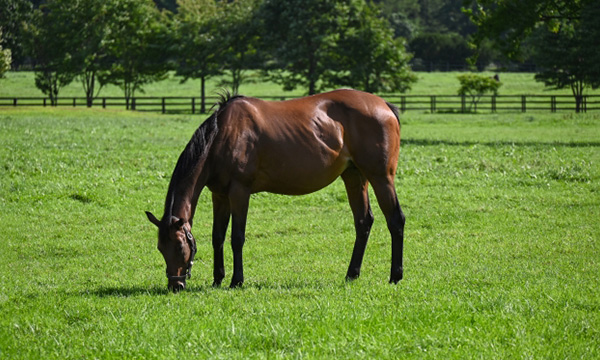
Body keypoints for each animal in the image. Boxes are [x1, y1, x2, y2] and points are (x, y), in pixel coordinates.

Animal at [146, 88, 406, 292]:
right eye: (160, 248)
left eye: (179, 246)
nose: (176, 285)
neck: (223, 135)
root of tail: (385, 106)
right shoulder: (219, 195)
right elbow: (217, 236)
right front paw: (217, 279)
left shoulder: (239, 192)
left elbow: (237, 237)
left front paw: (236, 281)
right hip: (354, 176)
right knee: (363, 222)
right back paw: (352, 274)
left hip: (381, 177)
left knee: (395, 220)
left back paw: (395, 276)